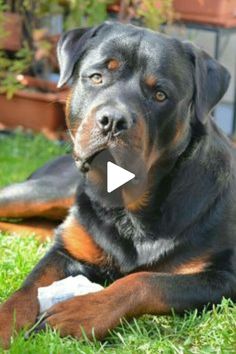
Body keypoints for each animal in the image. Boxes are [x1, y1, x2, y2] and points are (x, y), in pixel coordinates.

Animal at [0, 22, 236, 348]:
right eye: (97, 77)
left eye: (160, 95)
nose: (113, 119)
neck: (129, 211)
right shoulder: (65, 252)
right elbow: (26, 289)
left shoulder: (222, 277)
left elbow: (144, 280)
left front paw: (81, 312)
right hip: (39, 193)